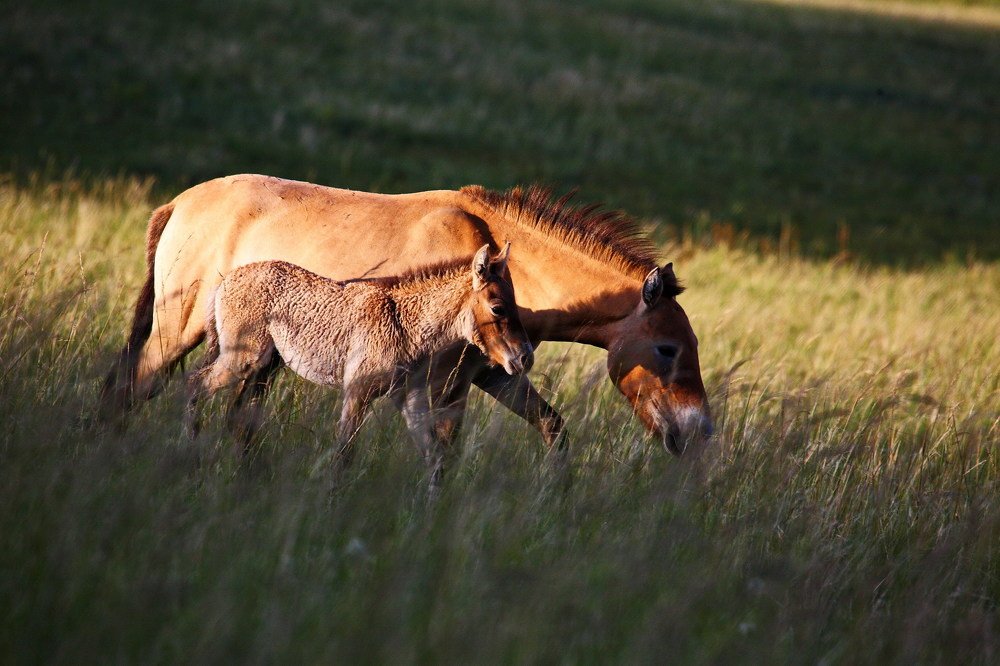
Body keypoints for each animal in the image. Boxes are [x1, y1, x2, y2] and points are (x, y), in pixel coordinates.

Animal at [101, 175, 712, 458]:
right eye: (667, 349)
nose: (698, 431)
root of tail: (178, 203)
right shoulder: (446, 380)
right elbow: (443, 448)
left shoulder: (489, 373)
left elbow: (552, 429)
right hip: (181, 334)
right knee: (133, 388)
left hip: (254, 359)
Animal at [184, 244, 531, 493]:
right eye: (498, 308)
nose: (524, 358)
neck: (405, 325)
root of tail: (224, 281)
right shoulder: (357, 392)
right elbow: (343, 456)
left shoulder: (409, 398)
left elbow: (434, 459)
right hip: (243, 361)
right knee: (194, 385)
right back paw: (192, 462)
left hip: (263, 368)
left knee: (236, 415)